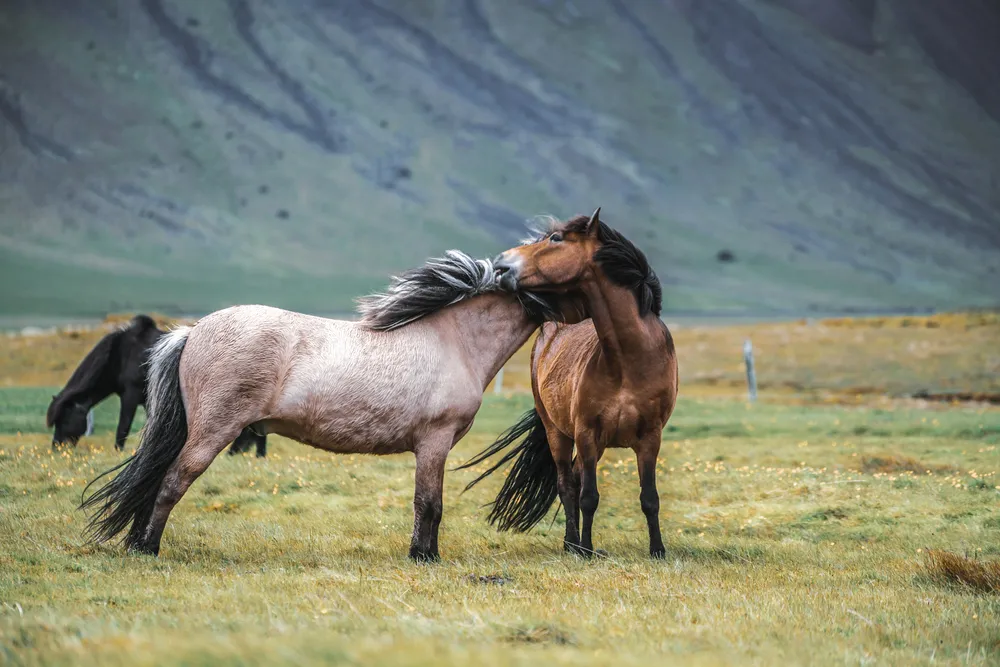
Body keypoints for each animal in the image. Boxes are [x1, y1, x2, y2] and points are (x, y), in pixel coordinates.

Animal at [46, 316, 268, 456]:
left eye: (64, 418)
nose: (57, 448)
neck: (120, 356)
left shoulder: (130, 396)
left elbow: (123, 426)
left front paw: (118, 452)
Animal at [82, 248, 584, 560]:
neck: (455, 340)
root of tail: (192, 331)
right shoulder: (434, 443)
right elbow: (430, 504)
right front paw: (425, 557)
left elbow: (427, 505)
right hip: (211, 432)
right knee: (171, 482)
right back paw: (148, 548)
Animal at [458, 209, 680, 560]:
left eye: (556, 238)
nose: (502, 264)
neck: (629, 361)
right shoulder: (586, 433)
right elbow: (588, 495)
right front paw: (586, 548)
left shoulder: (650, 437)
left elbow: (650, 498)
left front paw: (657, 550)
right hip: (558, 433)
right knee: (567, 484)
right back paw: (572, 544)